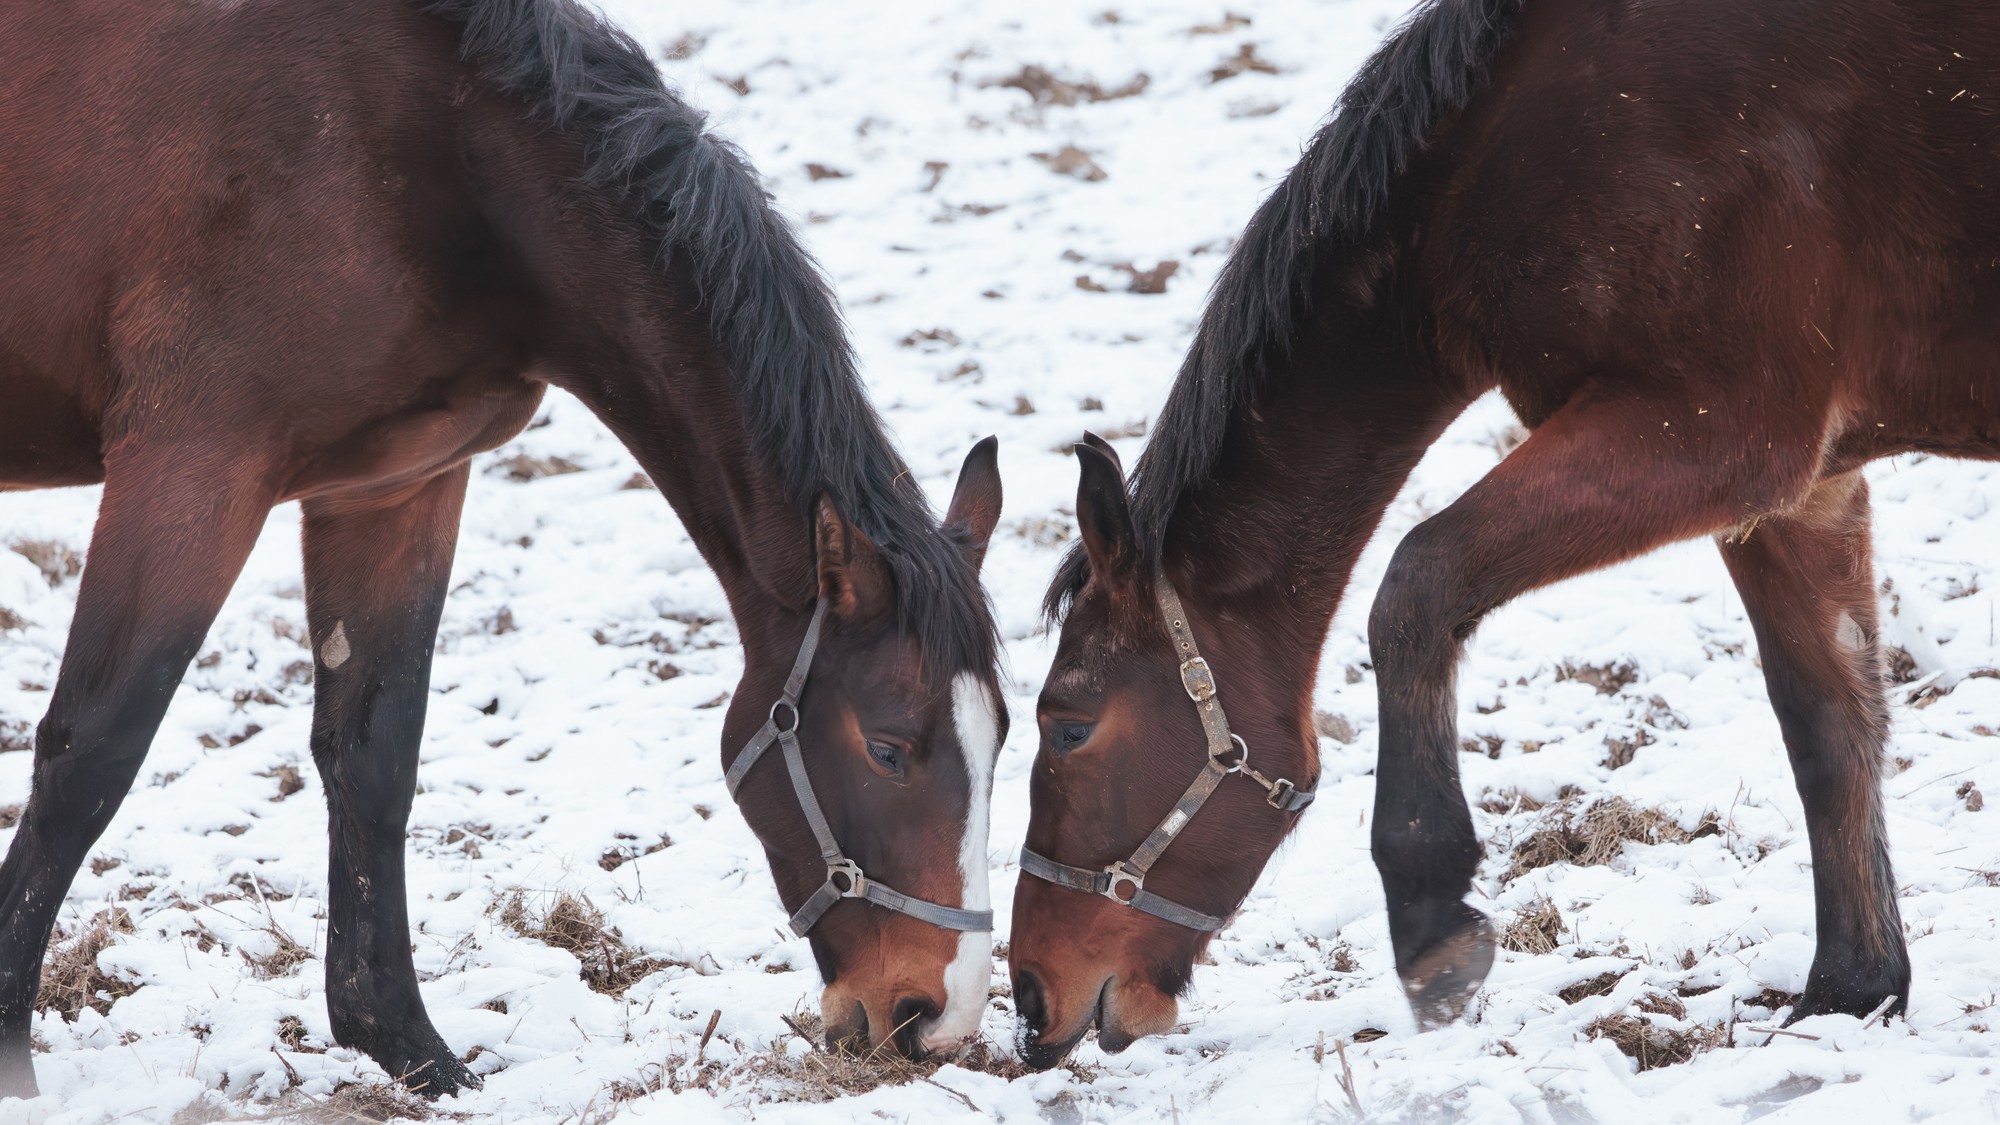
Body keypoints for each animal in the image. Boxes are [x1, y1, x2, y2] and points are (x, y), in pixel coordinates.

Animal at [0, 0, 1007, 1098]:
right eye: (888, 747)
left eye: (1001, 736)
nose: (934, 1016)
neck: (420, 155)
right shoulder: (191, 467)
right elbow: (89, 756)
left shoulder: (396, 486)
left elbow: (373, 759)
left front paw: (403, 1041)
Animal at [1008, 0, 2000, 1066]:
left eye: (1069, 725)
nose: (1029, 999)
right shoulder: (1796, 486)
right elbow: (1828, 722)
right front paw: (1852, 988)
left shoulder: (1717, 436)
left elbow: (1416, 583)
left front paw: (1429, 913)